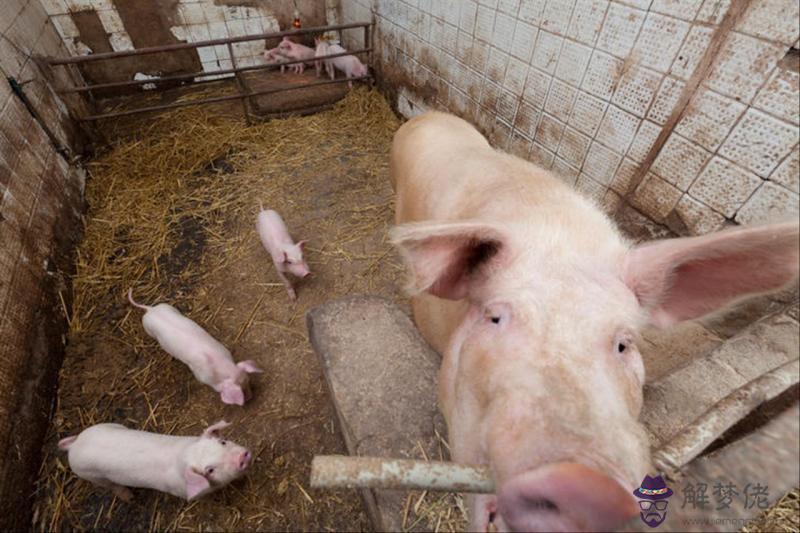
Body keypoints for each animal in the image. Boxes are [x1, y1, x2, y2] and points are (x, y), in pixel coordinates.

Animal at [57, 420, 251, 501]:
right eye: (210, 470)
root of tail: (74, 445)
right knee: (112, 486)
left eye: (223, 442)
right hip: (91, 476)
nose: (242, 457)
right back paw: (129, 498)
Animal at [127, 290, 262, 405]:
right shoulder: (200, 375)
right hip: (149, 330)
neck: (219, 365)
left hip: (168, 308)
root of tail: (150, 310)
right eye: (241, 390)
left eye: (248, 381)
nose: (250, 398)